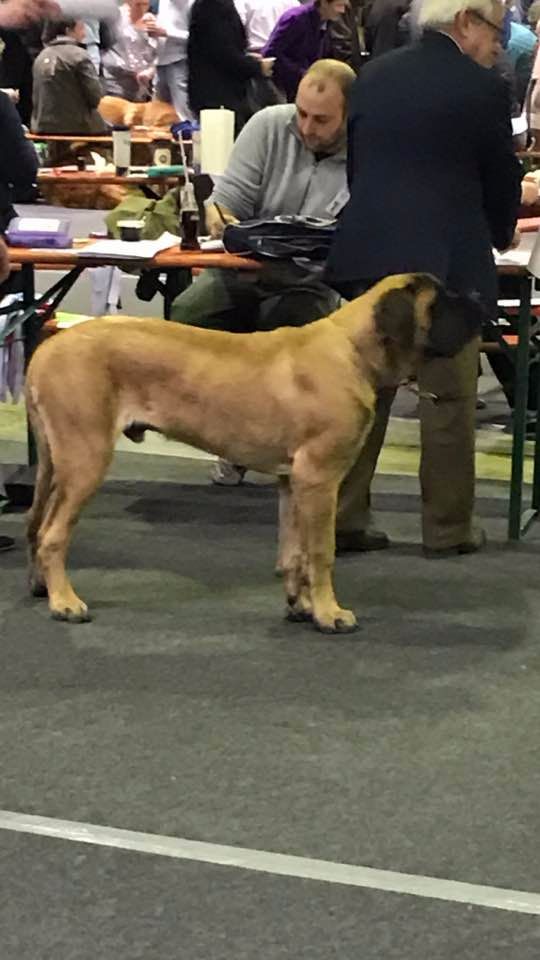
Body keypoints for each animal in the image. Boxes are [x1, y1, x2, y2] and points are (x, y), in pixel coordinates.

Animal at [25, 272, 480, 632]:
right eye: (441, 301)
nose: (479, 302)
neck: (353, 351)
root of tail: (45, 351)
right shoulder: (319, 479)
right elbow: (322, 552)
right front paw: (330, 613)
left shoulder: (294, 480)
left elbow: (294, 552)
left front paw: (301, 605)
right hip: (86, 457)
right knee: (53, 534)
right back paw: (65, 602)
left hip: (57, 462)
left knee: (37, 523)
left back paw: (42, 587)